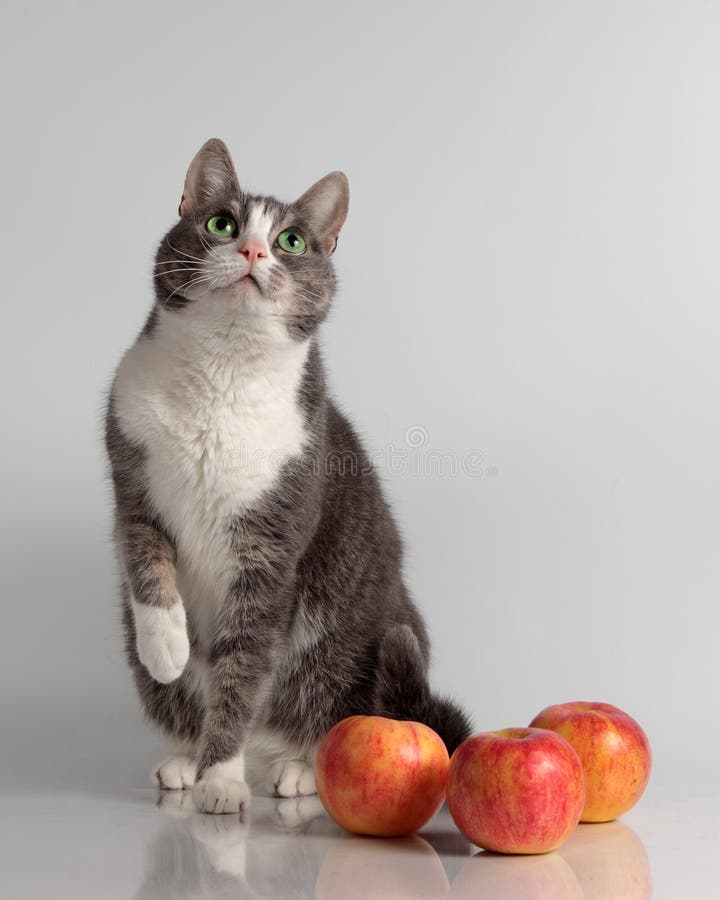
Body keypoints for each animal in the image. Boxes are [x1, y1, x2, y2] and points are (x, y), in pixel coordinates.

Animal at [104, 139, 470, 816]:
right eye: (222, 223)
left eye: (292, 241)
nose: (253, 251)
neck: (220, 373)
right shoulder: (131, 483)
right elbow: (144, 564)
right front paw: (167, 647)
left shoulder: (272, 548)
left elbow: (244, 665)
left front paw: (221, 777)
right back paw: (186, 756)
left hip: (354, 643)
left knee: (319, 709)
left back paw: (294, 768)